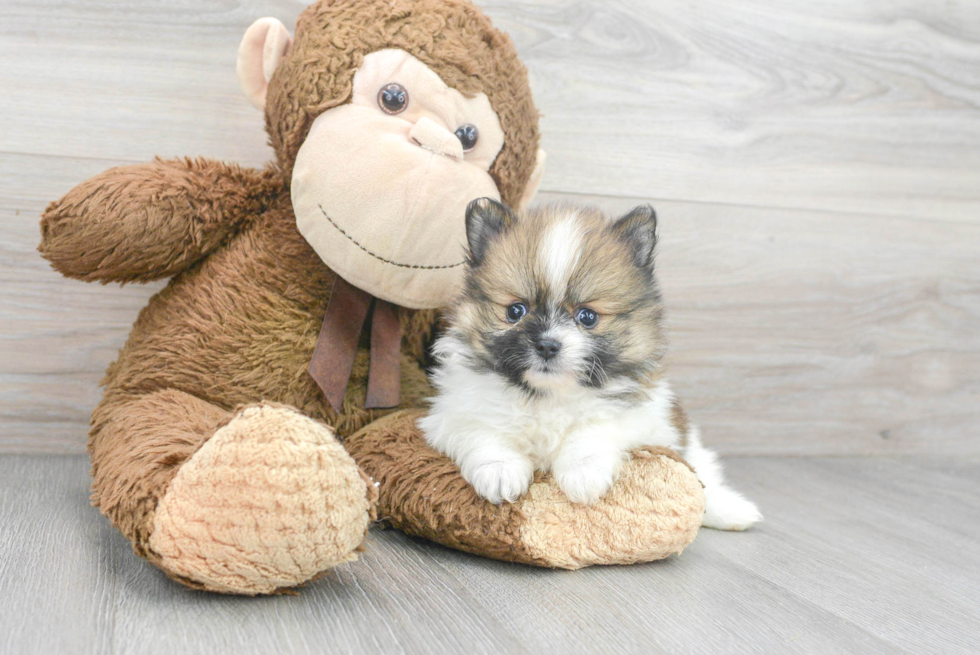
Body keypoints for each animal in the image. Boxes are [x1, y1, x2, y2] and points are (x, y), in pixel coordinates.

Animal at [418, 197, 760, 532]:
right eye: (515, 311)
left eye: (588, 316)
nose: (547, 344)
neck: (549, 395)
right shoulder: (453, 414)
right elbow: (484, 434)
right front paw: (500, 472)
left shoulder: (645, 417)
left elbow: (594, 428)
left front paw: (582, 474)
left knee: (706, 480)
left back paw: (733, 511)